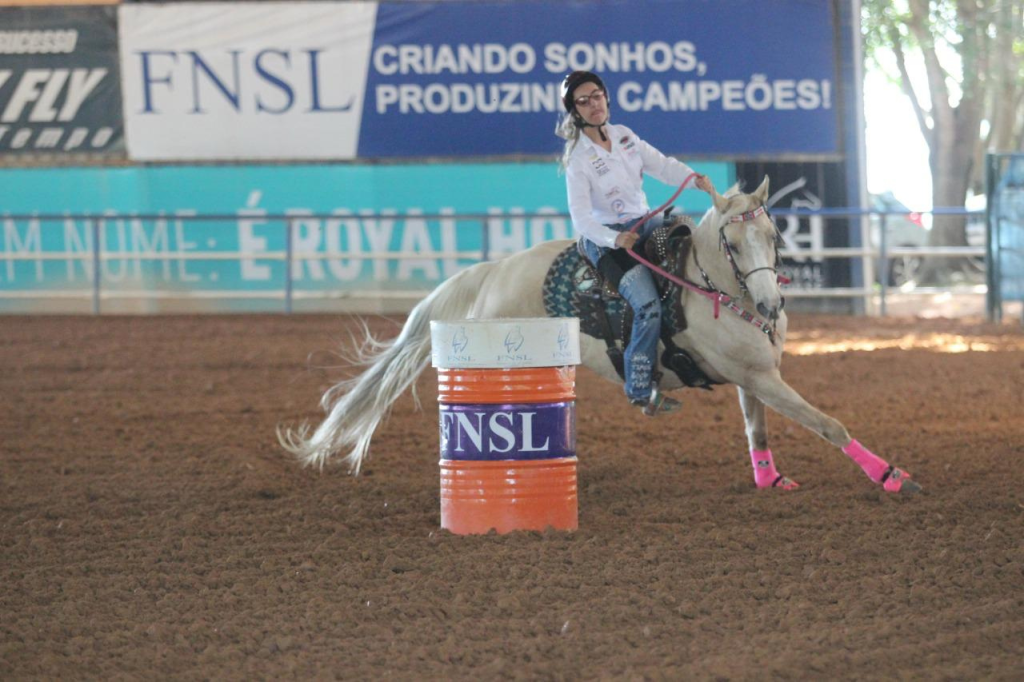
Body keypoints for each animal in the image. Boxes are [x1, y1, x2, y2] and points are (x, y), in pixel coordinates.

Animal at [276, 176, 925, 493]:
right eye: (732, 244)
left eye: (773, 235)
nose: (770, 303)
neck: (710, 290)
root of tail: (491, 271)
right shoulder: (760, 376)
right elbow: (829, 424)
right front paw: (892, 477)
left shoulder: (754, 377)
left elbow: (757, 431)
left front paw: (771, 480)